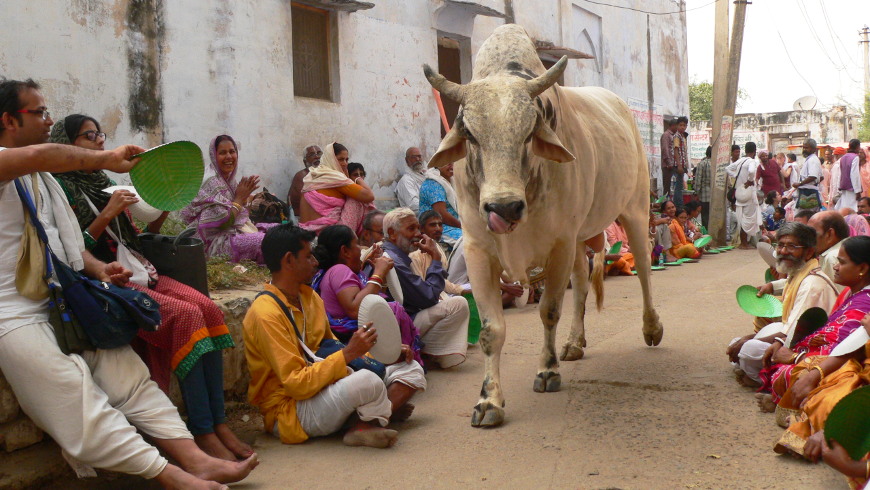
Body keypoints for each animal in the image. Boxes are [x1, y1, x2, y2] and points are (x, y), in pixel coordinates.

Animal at [426, 24, 664, 426]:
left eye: (528, 132)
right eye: (470, 134)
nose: (504, 207)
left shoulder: (559, 244)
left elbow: (549, 310)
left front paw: (548, 371)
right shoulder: (478, 250)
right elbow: (491, 330)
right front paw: (489, 400)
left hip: (633, 210)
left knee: (645, 268)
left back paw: (651, 327)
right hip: (581, 235)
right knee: (582, 281)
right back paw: (574, 342)